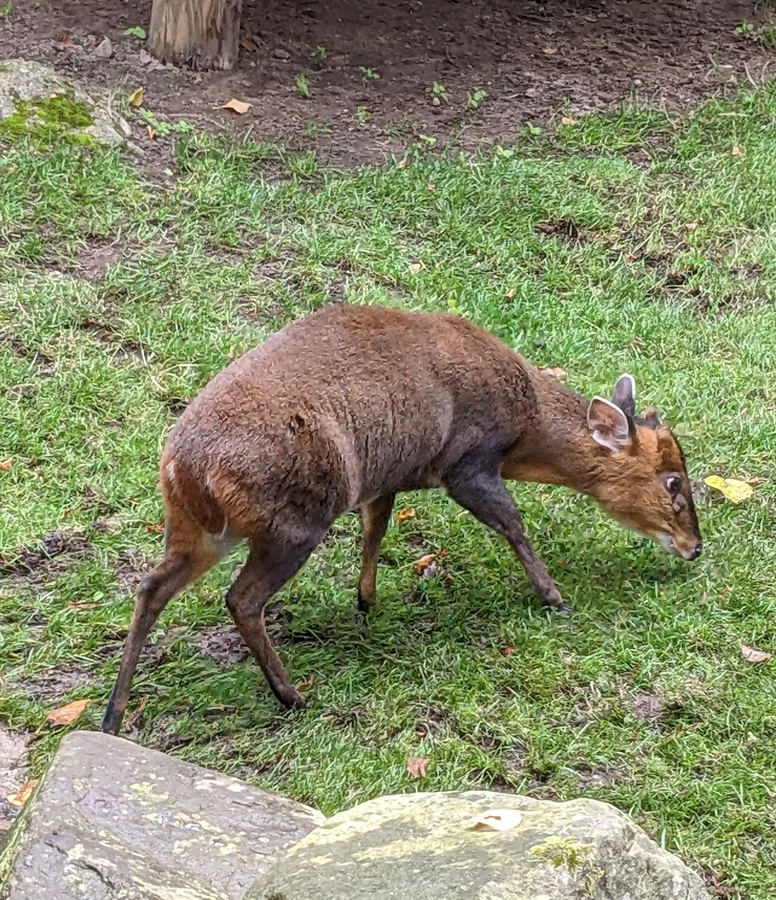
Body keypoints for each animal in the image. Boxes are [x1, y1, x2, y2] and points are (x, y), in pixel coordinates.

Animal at [102, 304, 701, 734]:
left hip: (201, 529)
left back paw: (113, 713)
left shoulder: (386, 478)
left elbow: (377, 529)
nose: (695, 546)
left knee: (152, 586)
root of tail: (184, 466)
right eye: (673, 481)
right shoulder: (467, 462)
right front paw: (554, 596)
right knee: (241, 598)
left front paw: (366, 600)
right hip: (294, 521)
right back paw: (292, 696)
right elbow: (512, 524)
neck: (526, 426)